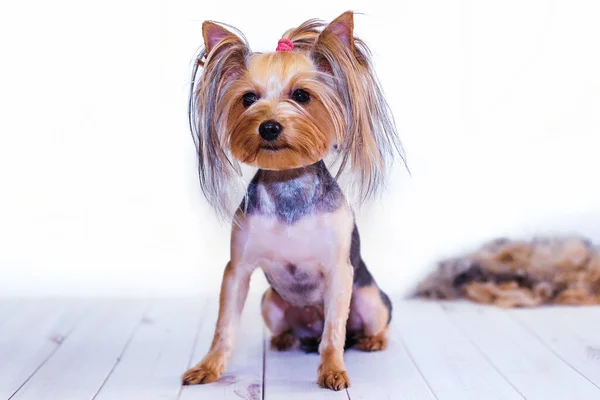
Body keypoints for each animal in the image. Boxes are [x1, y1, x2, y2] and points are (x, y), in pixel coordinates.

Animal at [182, 11, 404, 390]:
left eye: (301, 95)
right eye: (248, 99)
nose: (269, 127)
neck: (288, 184)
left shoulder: (339, 271)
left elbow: (334, 331)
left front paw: (333, 371)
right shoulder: (238, 269)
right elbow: (224, 325)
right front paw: (208, 367)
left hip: (370, 298)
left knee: (365, 324)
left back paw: (371, 340)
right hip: (270, 303)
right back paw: (284, 339)